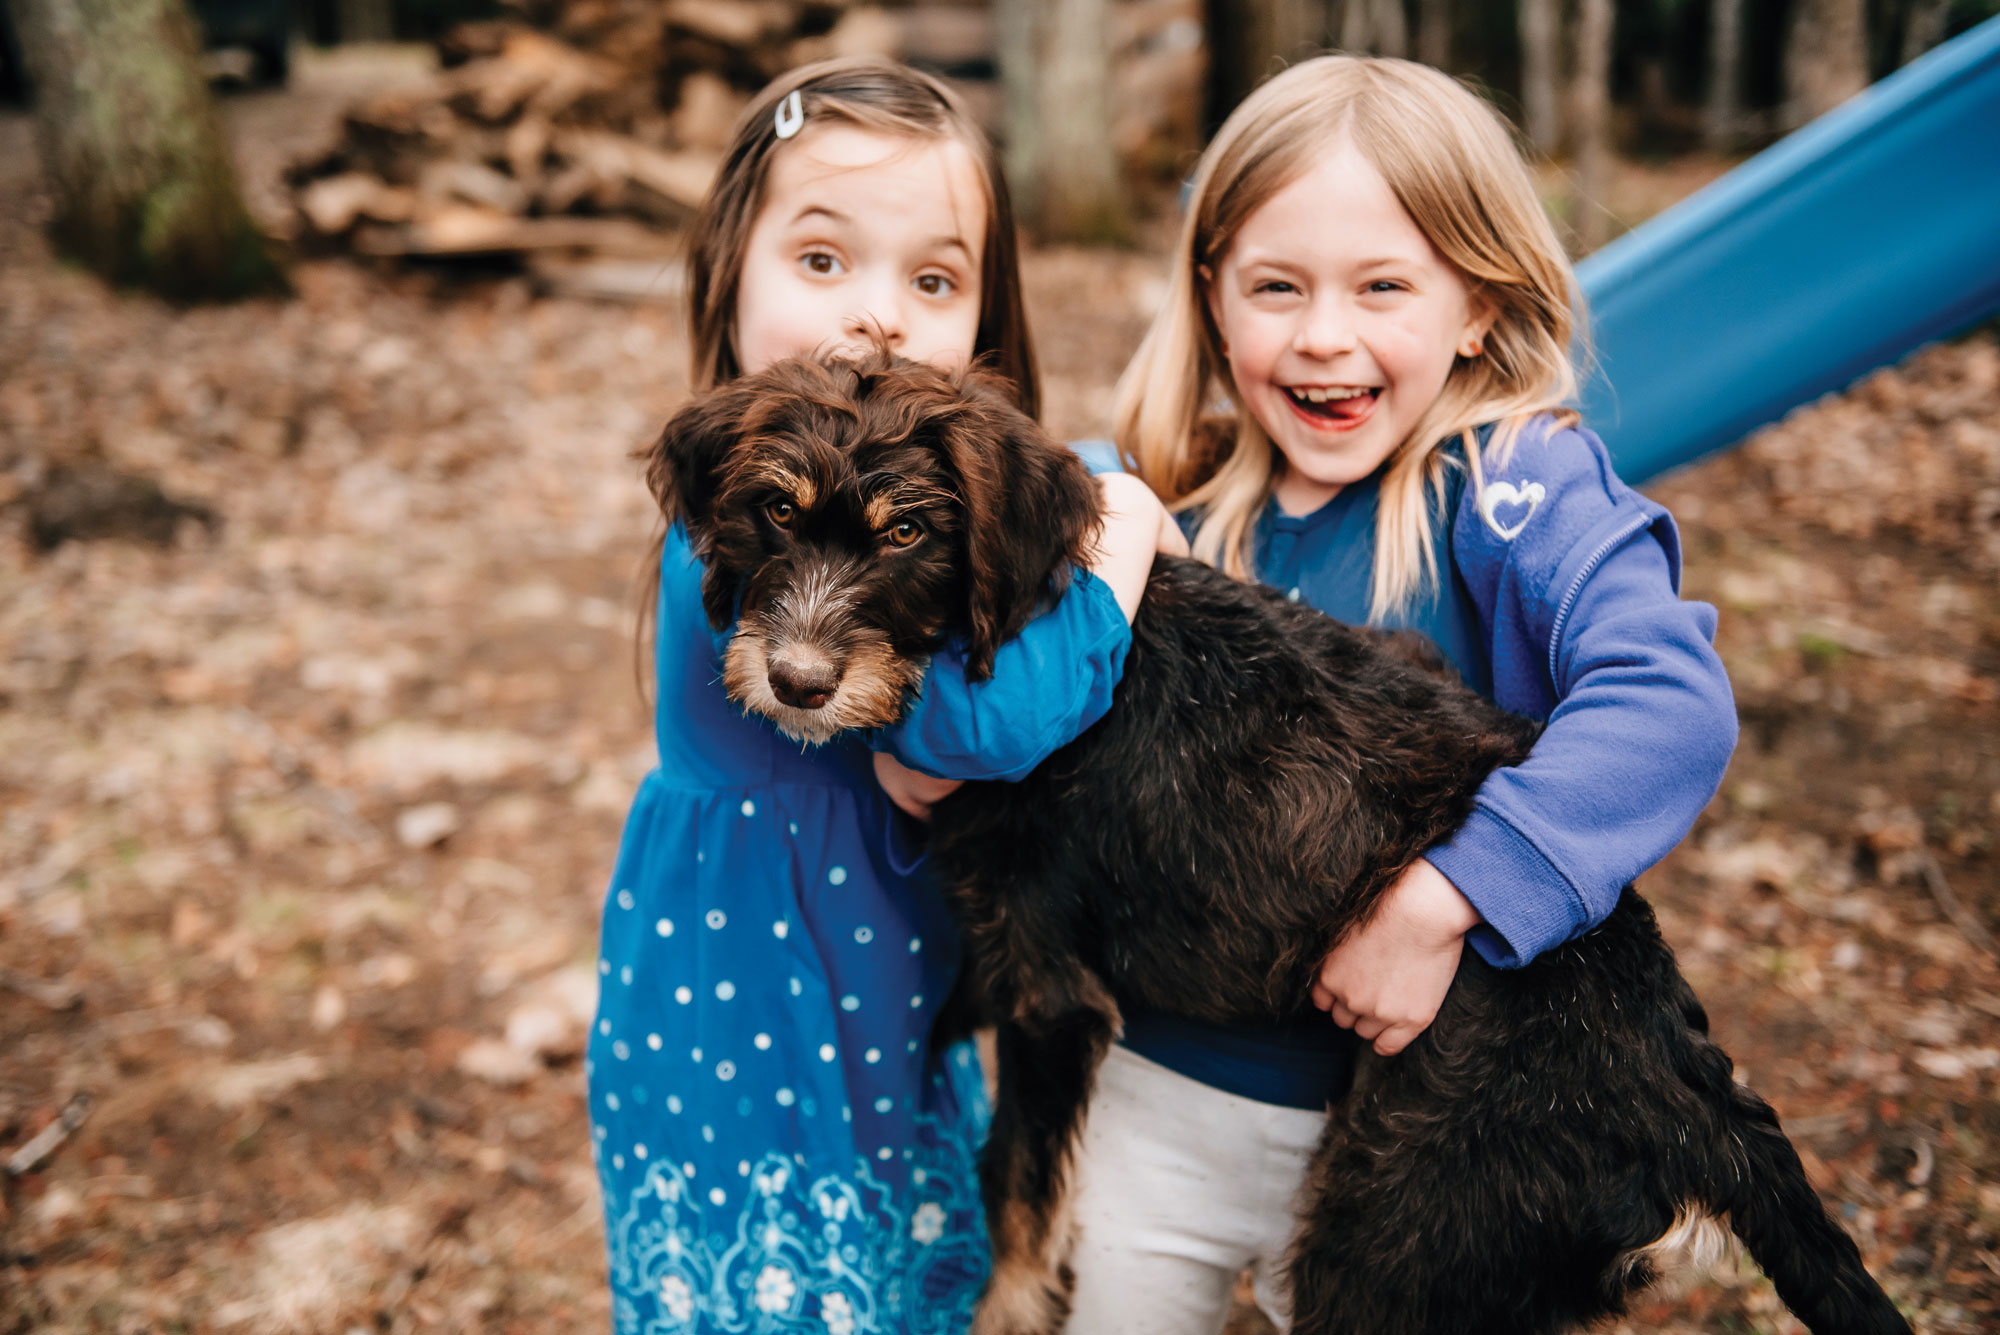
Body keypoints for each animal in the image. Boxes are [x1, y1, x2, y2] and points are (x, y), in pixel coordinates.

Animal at [644, 351, 1904, 1335]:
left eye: (905, 532)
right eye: (775, 511)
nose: (796, 682)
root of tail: (1685, 1082)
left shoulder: (1052, 1000)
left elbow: (1013, 1193)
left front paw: (1002, 1306)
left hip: (1390, 1237)